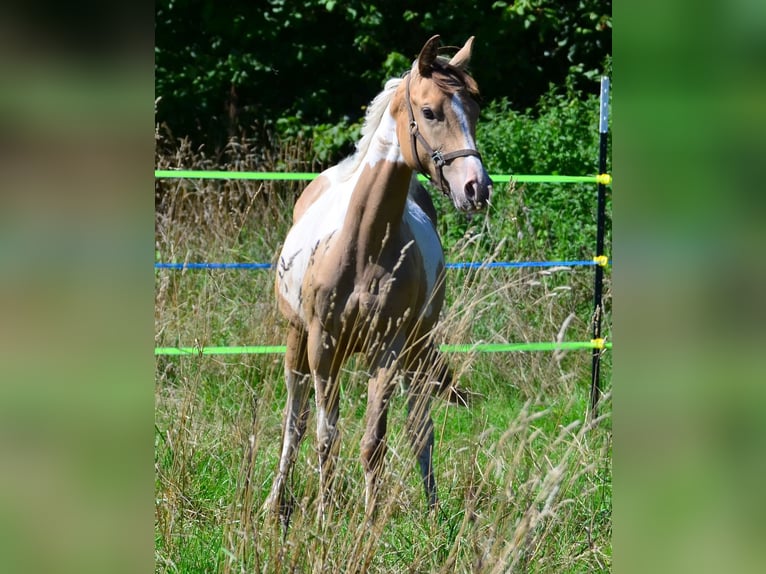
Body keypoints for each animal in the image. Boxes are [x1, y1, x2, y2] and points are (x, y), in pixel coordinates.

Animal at [265, 35, 493, 523]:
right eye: (429, 111)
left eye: (475, 109)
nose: (476, 188)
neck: (361, 245)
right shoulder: (322, 345)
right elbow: (324, 434)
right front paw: (325, 515)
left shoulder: (387, 350)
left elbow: (375, 441)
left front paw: (369, 524)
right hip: (296, 338)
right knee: (295, 421)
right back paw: (276, 502)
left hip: (417, 349)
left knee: (420, 426)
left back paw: (432, 508)